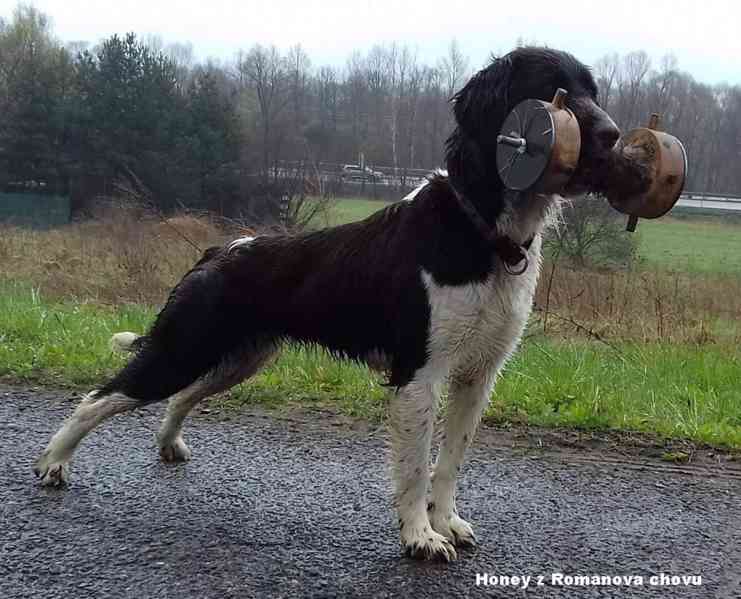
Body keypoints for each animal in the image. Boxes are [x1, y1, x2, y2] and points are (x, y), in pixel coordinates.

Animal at [33, 47, 620, 564]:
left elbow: (450, 460)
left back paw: (167, 444)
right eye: (552, 90)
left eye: (593, 91)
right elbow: (414, 468)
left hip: (239, 357)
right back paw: (53, 464)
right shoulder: (419, 374)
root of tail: (219, 250)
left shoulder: (478, 374)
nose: (614, 136)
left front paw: (447, 522)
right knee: (99, 396)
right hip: (182, 349)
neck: (483, 230)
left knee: (180, 397)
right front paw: (420, 538)